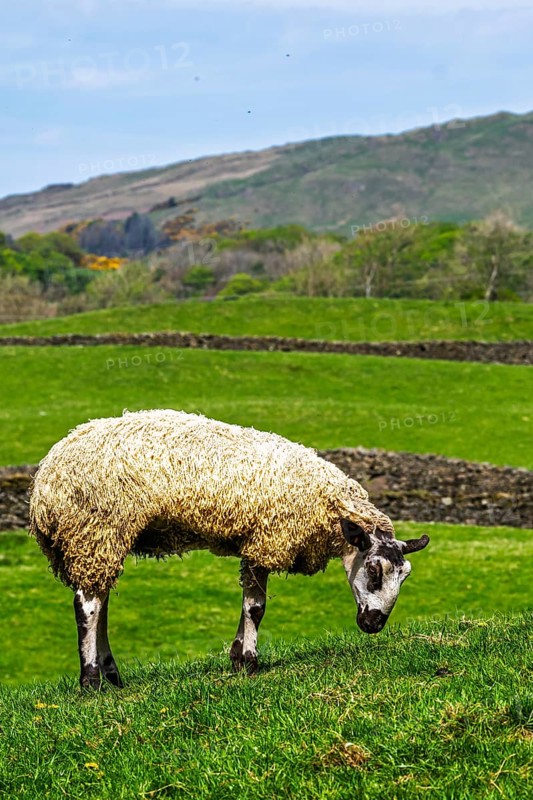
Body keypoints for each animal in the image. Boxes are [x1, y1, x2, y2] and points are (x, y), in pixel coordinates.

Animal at [29, 409, 429, 687]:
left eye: (405, 576)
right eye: (374, 569)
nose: (374, 625)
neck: (326, 508)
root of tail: (43, 485)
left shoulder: (256, 544)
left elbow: (250, 606)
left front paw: (237, 657)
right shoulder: (265, 540)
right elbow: (256, 608)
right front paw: (249, 662)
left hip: (99, 543)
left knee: (101, 603)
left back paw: (112, 676)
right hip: (95, 530)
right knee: (87, 607)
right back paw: (91, 681)